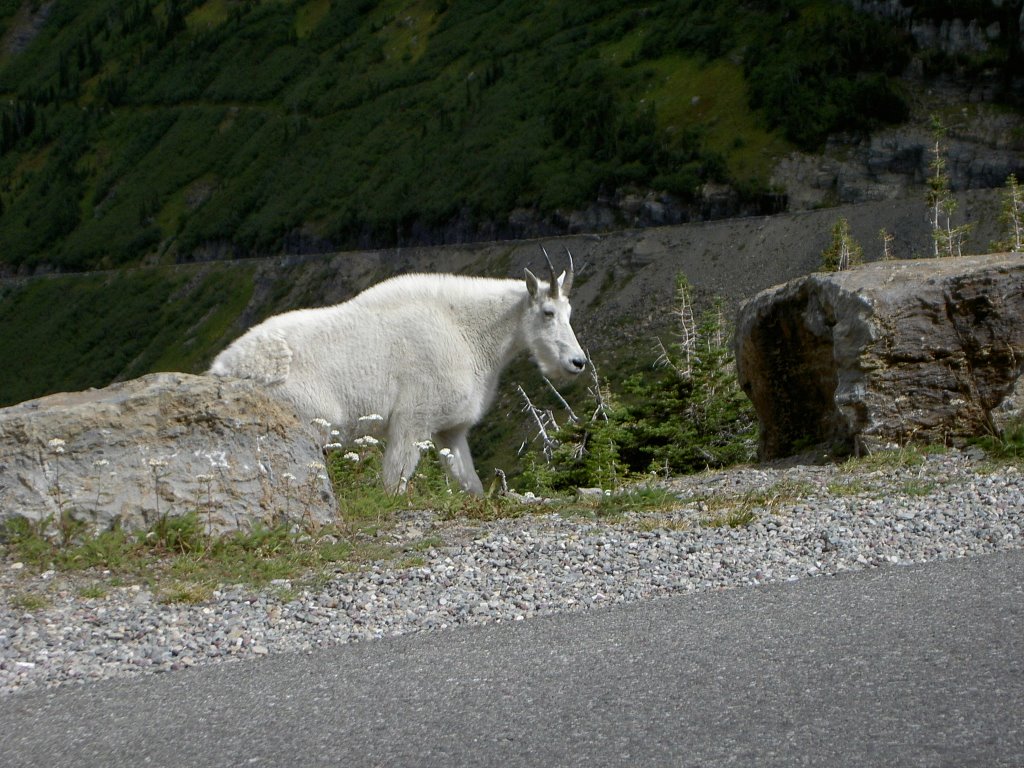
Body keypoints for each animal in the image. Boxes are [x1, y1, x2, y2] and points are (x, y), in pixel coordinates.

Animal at [207, 249, 585, 495]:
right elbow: (394, 484)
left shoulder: (450, 430)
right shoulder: (411, 422)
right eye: (548, 312)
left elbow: (471, 483)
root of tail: (221, 368)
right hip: (301, 423)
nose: (577, 363)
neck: (467, 332)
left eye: (570, 312)